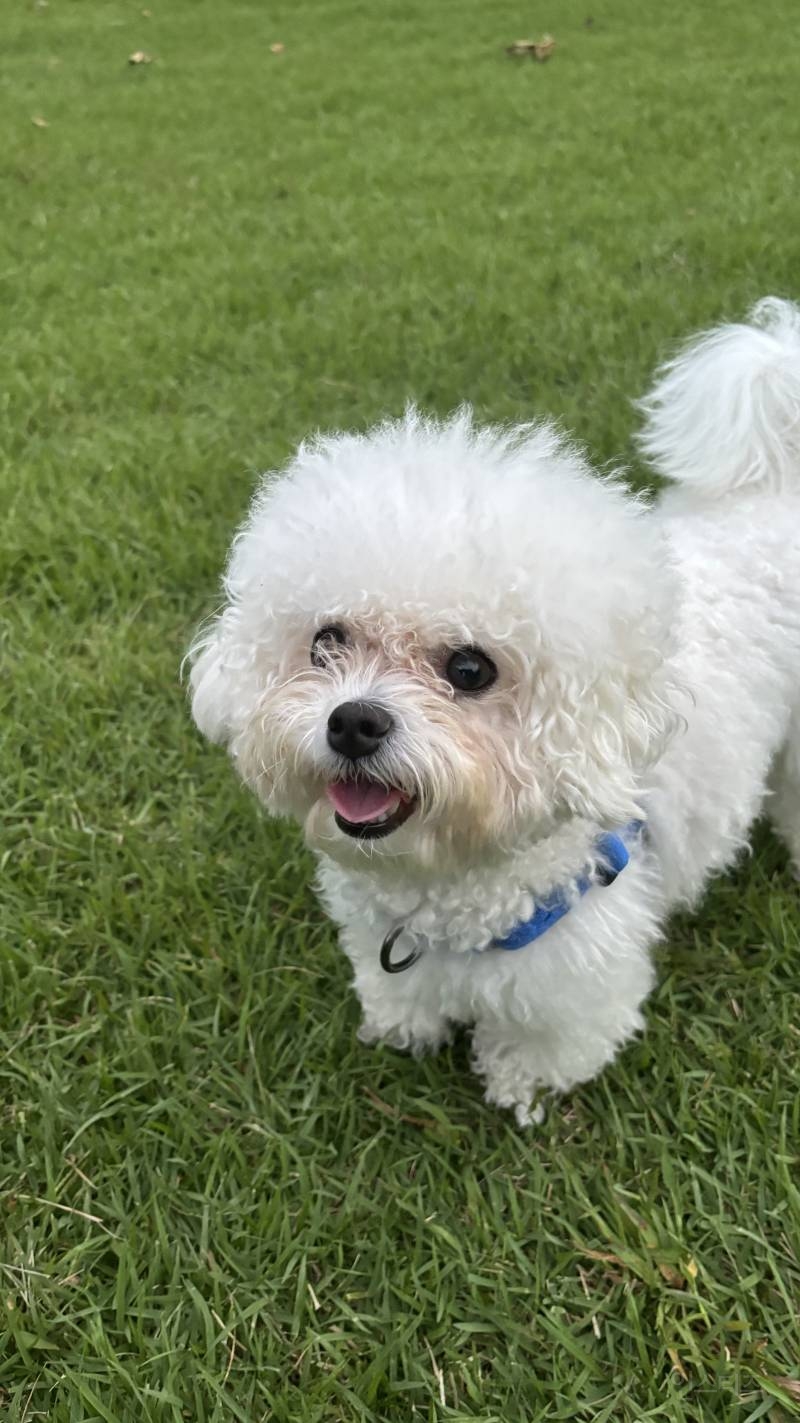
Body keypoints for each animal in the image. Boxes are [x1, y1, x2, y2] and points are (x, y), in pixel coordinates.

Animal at [189, 300, 797, 1121]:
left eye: (471, 669)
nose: (353, 722)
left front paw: (521, 1082)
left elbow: (548, 1040)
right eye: (326, 641)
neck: (446, 889)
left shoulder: (577, 968)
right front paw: (404, 1025)